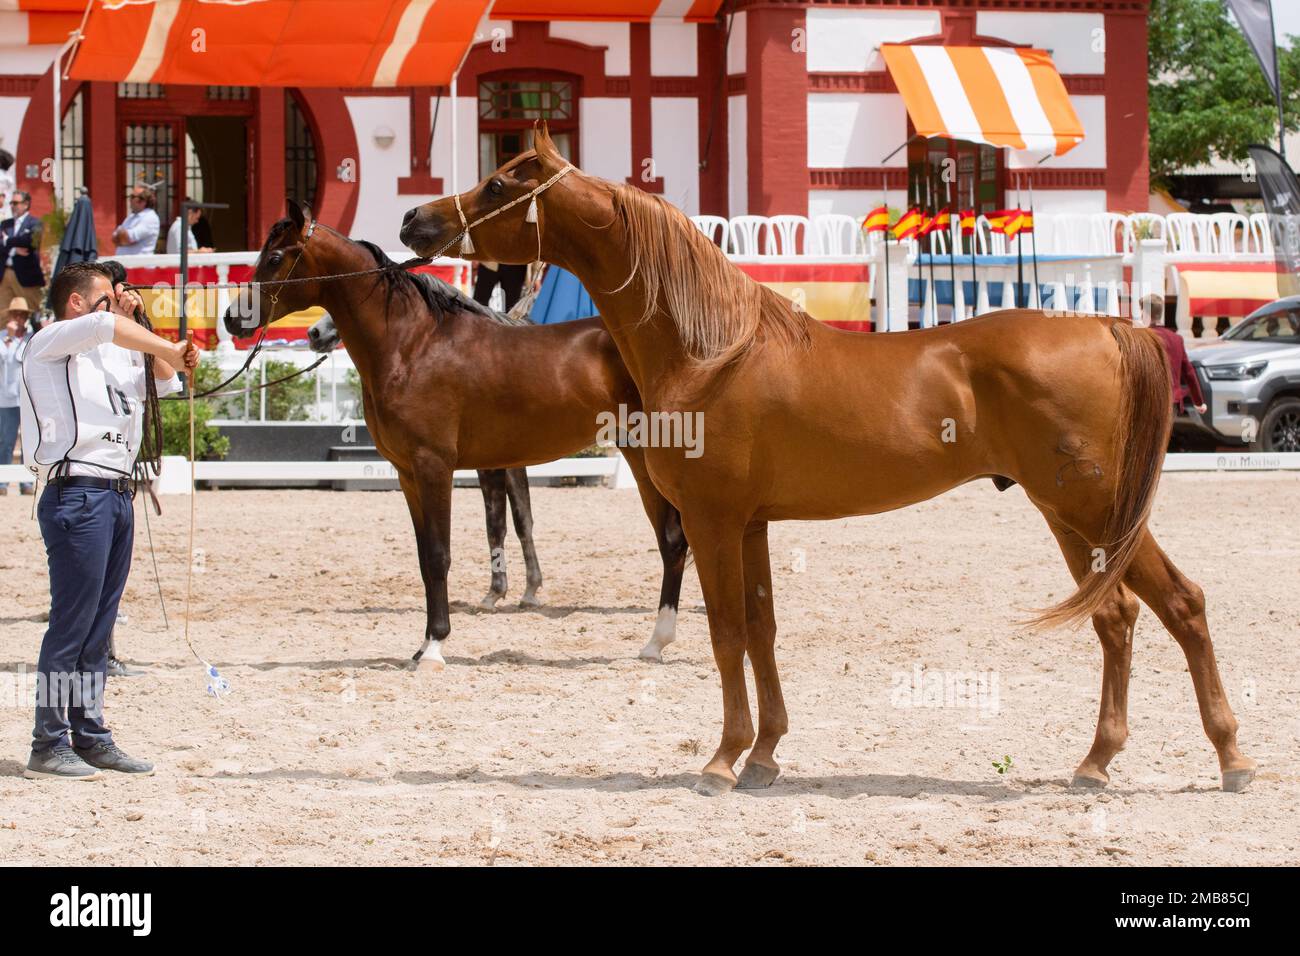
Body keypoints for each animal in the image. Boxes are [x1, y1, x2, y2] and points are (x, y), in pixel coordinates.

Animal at [223, 201, 691, 665]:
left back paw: (660, 640)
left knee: (673, 540)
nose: (232, 319)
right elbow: (426, 556)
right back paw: (658, 643)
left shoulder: (435, 467)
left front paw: (434, 647)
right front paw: (422, 646)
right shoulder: (408, 474)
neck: (412, 345)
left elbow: (439, 555)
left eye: (275, 258)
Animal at [400, 128, 1253, 801]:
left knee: (1182, 604)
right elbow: (763, 630)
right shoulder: (750, 526)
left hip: (1091, 510)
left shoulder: (712, 522)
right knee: (1119, 618)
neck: (712, 351)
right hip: (1072, 519)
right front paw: (765, 755)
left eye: (502, 181)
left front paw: (721, 761)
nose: (416, 220)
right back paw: (1097, 763)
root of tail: (1111, 327)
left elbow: (727, 635)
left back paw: (1231, 760)